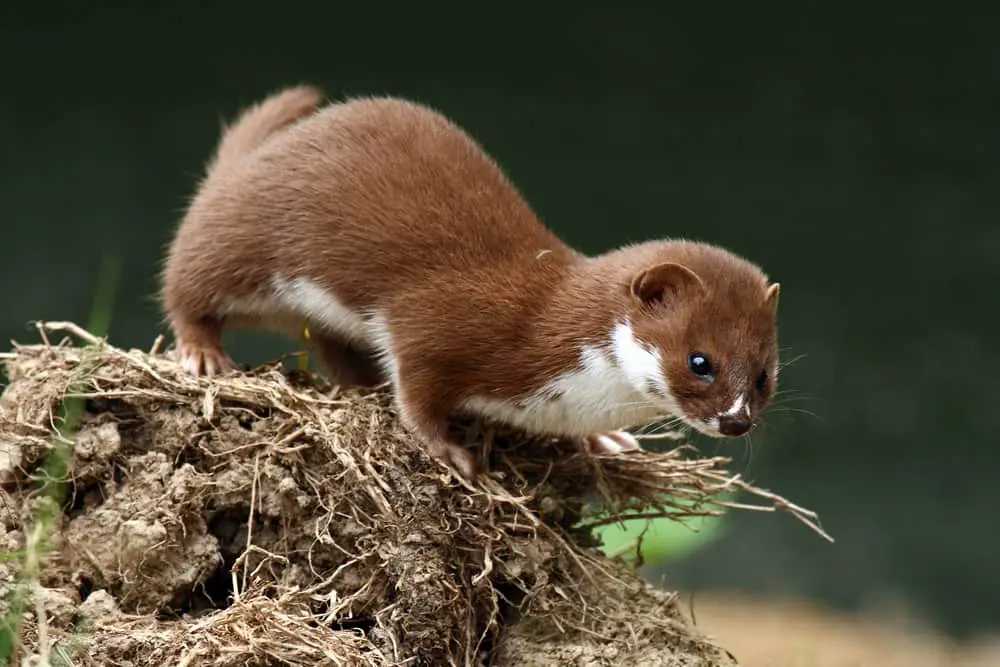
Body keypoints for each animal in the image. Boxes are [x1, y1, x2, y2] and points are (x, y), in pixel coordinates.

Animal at [160, 83, 780, 480]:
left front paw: (605, 439)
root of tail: (254, 158)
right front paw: (450, 451)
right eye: (700, 361)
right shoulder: (438, 321)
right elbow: (416, 392)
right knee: (186, 284)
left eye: (764, 376)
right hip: (242, 241)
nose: (736, 421)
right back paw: (203, 353)